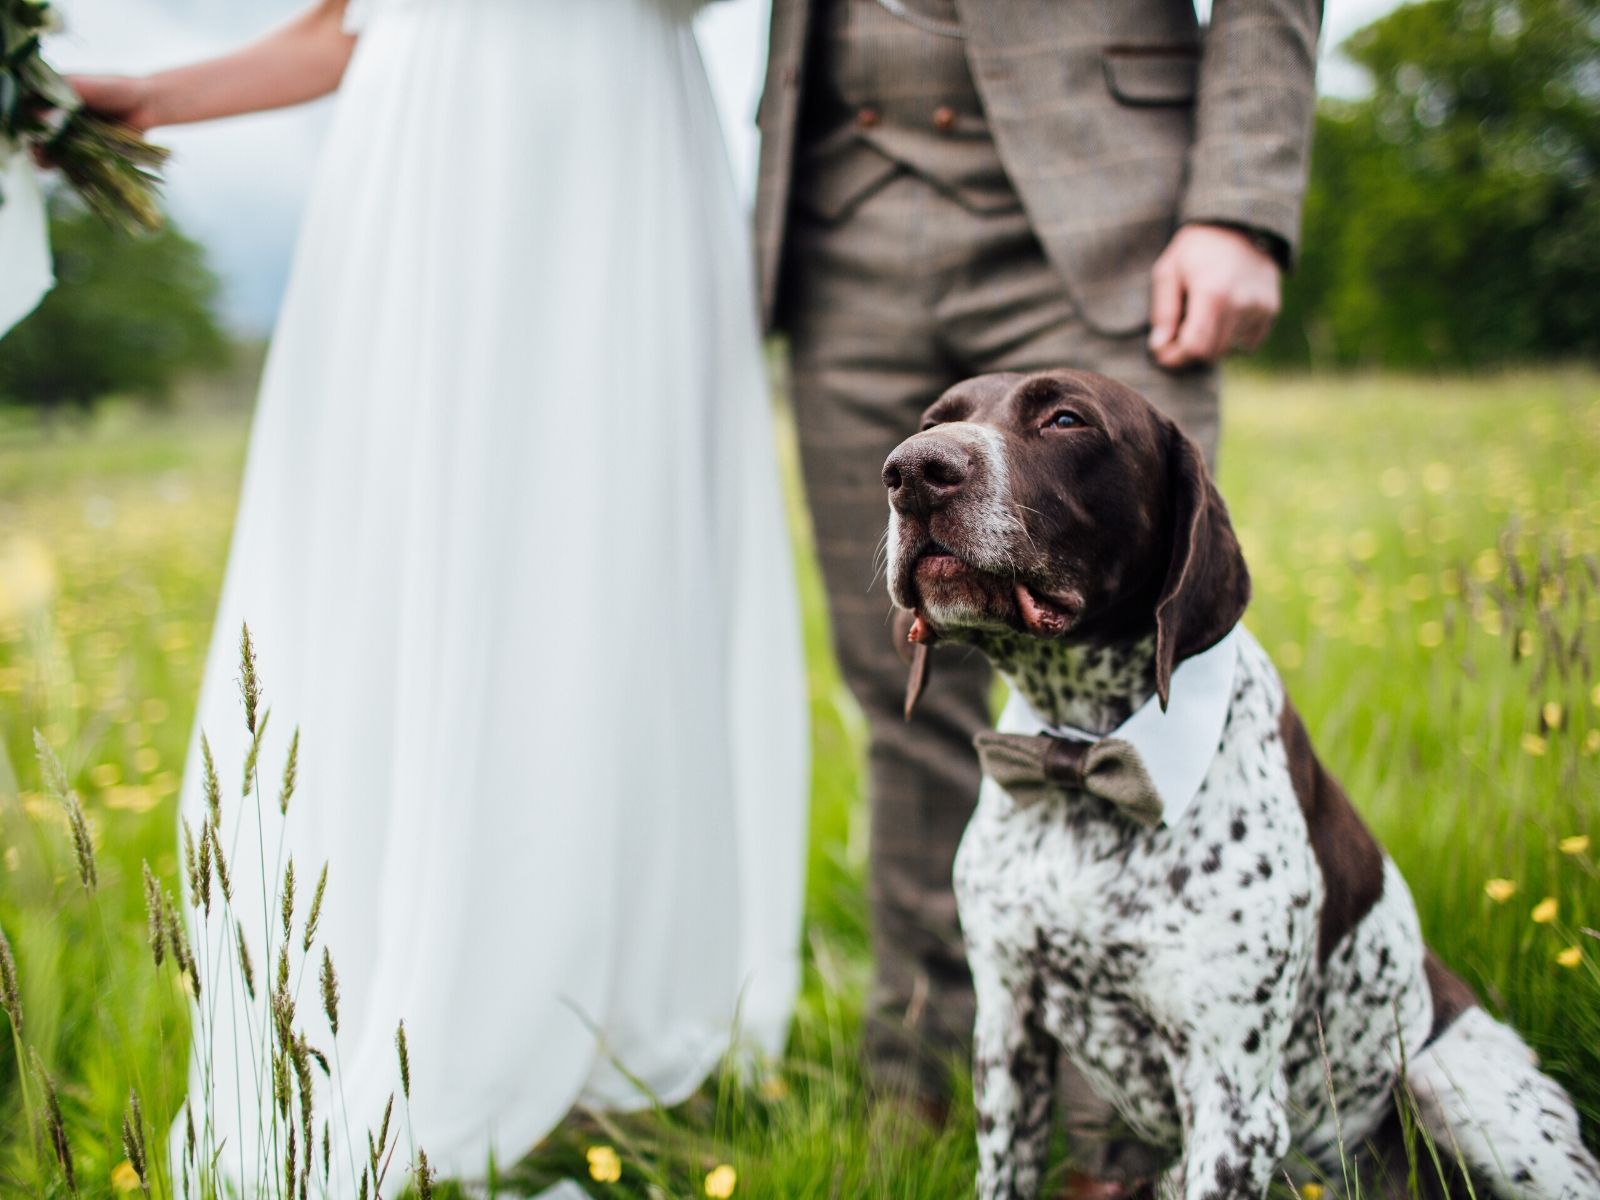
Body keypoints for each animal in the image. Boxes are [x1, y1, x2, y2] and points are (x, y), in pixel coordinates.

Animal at [883, 369, 1593, 1200]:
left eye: (1065, 419)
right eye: (933, 421)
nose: (912, 471)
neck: (1085, 761)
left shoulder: (1234, 1105)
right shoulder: (1008, 1040)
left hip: (1461, 1096)